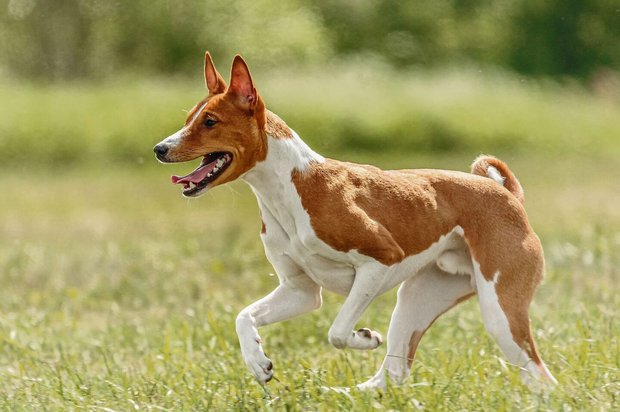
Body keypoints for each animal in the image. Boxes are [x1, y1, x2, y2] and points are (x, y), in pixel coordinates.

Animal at [154, 52, 556, 390]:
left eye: (210, 122)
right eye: (188, 119)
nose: (159, 148)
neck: (291, 189)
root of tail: (507, 195)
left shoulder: (380, 260)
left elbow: (336, 331)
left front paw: (363, 338)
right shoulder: (299, 291)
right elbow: (243, 316)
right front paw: (257, 361)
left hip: (499, 312)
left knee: (541, 376)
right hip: (415, 300)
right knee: (393, 374)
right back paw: (344, 393)